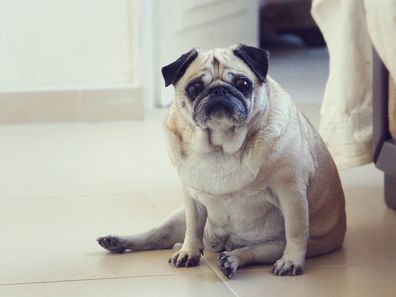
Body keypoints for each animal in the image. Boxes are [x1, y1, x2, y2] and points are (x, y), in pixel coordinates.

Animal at [98, 44, 346, 278]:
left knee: (250, 252)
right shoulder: (191, 198)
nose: (219, 90)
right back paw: (118, 241)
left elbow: (296, 231)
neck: (220, 147)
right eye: (194, 88)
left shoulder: (291, 193)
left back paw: (231, 261)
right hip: (178, 216)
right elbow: (193, 230)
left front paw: (292, 261)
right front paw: (188, 252)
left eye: (243, 83)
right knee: (159, 236)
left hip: (274, 245)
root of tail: (225, 243)